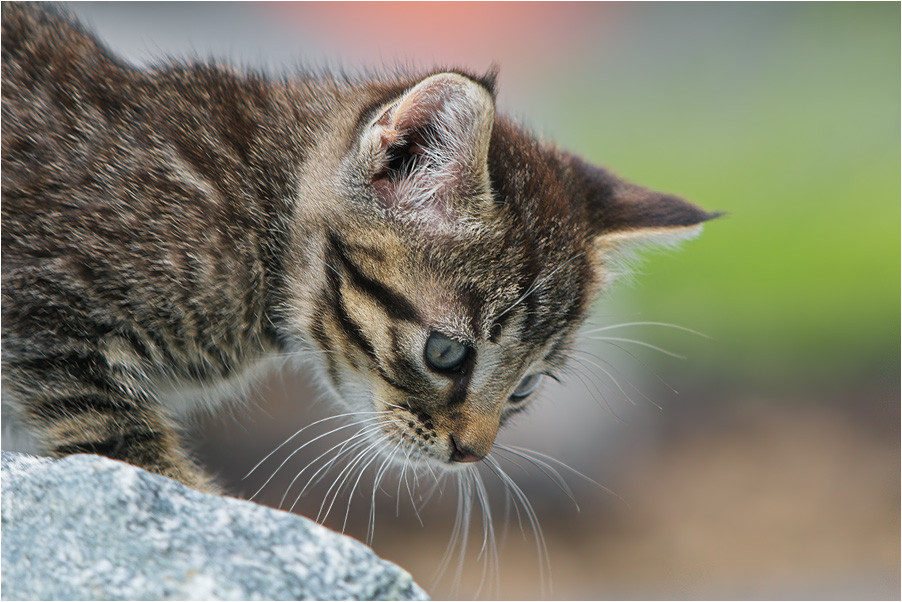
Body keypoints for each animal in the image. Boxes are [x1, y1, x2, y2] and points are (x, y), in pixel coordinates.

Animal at [1, 3, 720, 492]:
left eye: (526, 387)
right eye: (446, 353)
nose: (474, 453)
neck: (255, 206)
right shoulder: (45, 307)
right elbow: (124, 442)